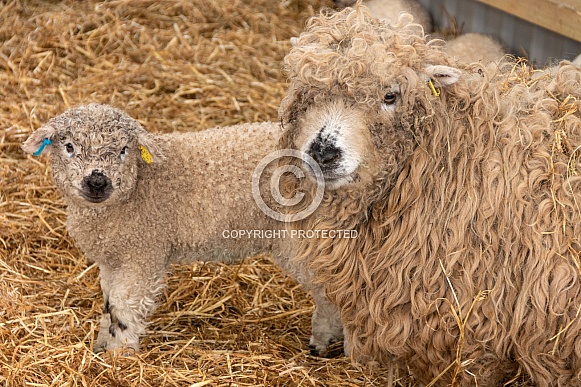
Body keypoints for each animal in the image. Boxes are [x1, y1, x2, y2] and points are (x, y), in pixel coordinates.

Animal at [22, 104, 308, 354]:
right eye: (69, 146)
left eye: (124, 149)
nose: (97, 182)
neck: (139, 186)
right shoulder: (113, 257)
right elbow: (108, 301)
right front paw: (102, 344)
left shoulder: (144, 253)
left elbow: (123, 305)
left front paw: (120, 354)